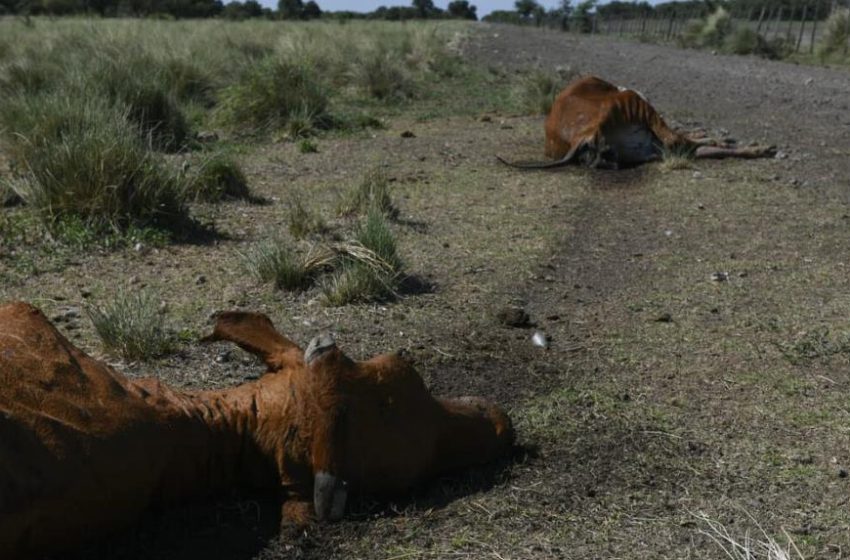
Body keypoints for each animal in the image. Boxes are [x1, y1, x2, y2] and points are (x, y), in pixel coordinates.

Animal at [496, 75, 776, 170]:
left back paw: (756, 149)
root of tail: (579, 137)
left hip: (649, 148)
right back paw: (760, 147)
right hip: (638, 104)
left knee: (689, 146)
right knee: (679, 139)